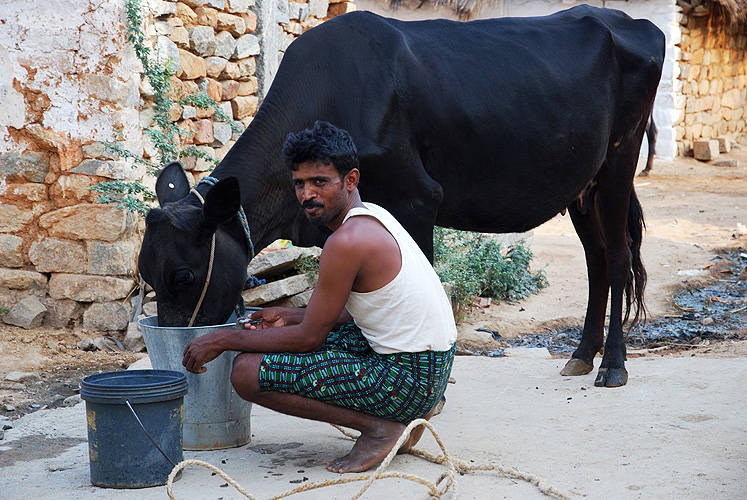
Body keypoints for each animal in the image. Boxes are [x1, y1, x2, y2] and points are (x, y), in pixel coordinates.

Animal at [140, 5, 668, 388]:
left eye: (182, 276)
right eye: (145, 273)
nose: (172, 352)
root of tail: (632, 22)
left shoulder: (417, 199)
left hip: (619, 161)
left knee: (618, 258)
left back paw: (613, 364)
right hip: (582, 183)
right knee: (597, 260)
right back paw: (581, 354)